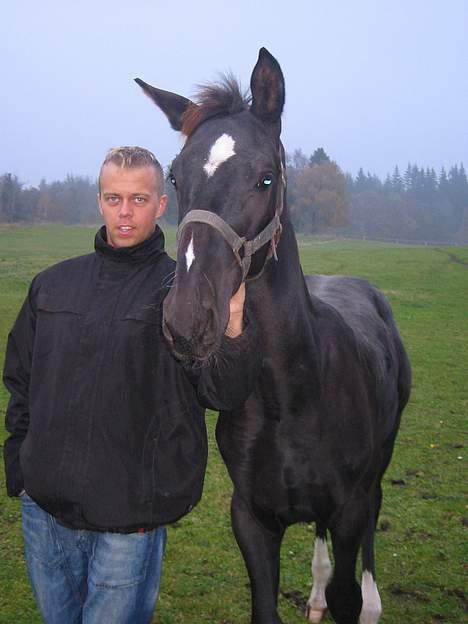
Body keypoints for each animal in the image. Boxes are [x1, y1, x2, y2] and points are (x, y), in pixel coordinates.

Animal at [135, 48, 410, 624]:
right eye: (175, 177)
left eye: (265, 178)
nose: (187, 318)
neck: (295, 394)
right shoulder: (253, 518)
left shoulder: (350, 511)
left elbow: (350, 593)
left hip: (376, 476)